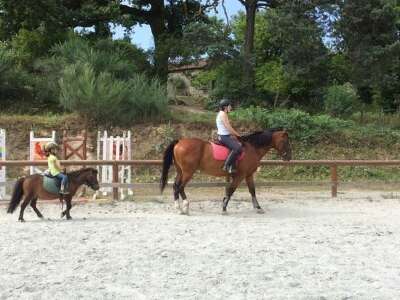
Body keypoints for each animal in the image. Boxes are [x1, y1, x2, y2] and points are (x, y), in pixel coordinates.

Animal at [161, 127, 292, 214]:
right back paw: (183, 208)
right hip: (188, 172)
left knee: (176, 186)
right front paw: (224, 207)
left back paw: (180, 207)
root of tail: (179, 142)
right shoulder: (240, 176)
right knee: (180, 187)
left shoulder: (249, 175)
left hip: (181, 171)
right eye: (285, 141)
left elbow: (252, 190)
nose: (289, 157)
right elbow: (231, 190)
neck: (252, 148)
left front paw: (258, 208)